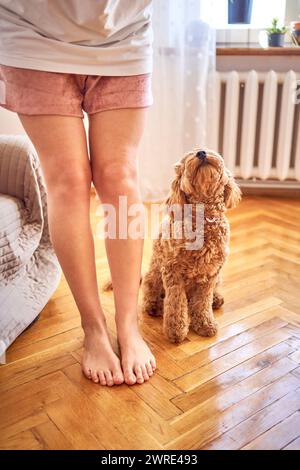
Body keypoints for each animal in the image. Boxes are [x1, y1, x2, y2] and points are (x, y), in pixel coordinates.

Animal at [142, 149, 243, 344]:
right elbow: (176, 303)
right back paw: (154, 306)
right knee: (151, 291)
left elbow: (203, 302)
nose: (201, 152)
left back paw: (216, 299)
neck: (204, 220)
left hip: (218, 278)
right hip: (154, 275)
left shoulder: (211, 273)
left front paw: (204, 324)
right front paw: (176, 331)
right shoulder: (172, 272)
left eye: (210, 150)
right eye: (189, 155)